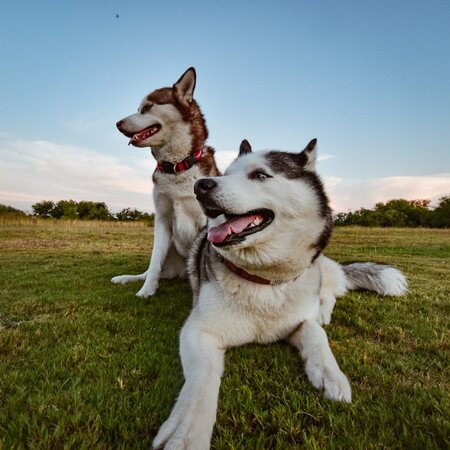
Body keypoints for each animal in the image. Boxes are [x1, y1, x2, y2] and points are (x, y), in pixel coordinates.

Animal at [111, 67, 219, 298]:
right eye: (139, 108)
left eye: (147, 107)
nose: (117, 124)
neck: (178, 165)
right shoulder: (162, 219)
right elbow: (153, 264)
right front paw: (146, 291)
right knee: (153, 268)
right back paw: (128, 278)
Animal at [152, 139, 408, 448]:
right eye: (226, 174)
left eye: (260, 175)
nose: (200, 185)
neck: (264, 279)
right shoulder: (198, 332)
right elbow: (201, 380)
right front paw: (187, 431)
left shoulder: (298, 320)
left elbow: (314, 331)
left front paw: (330, 374)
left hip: (321, 268)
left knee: (330, 293)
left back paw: (324, 311)